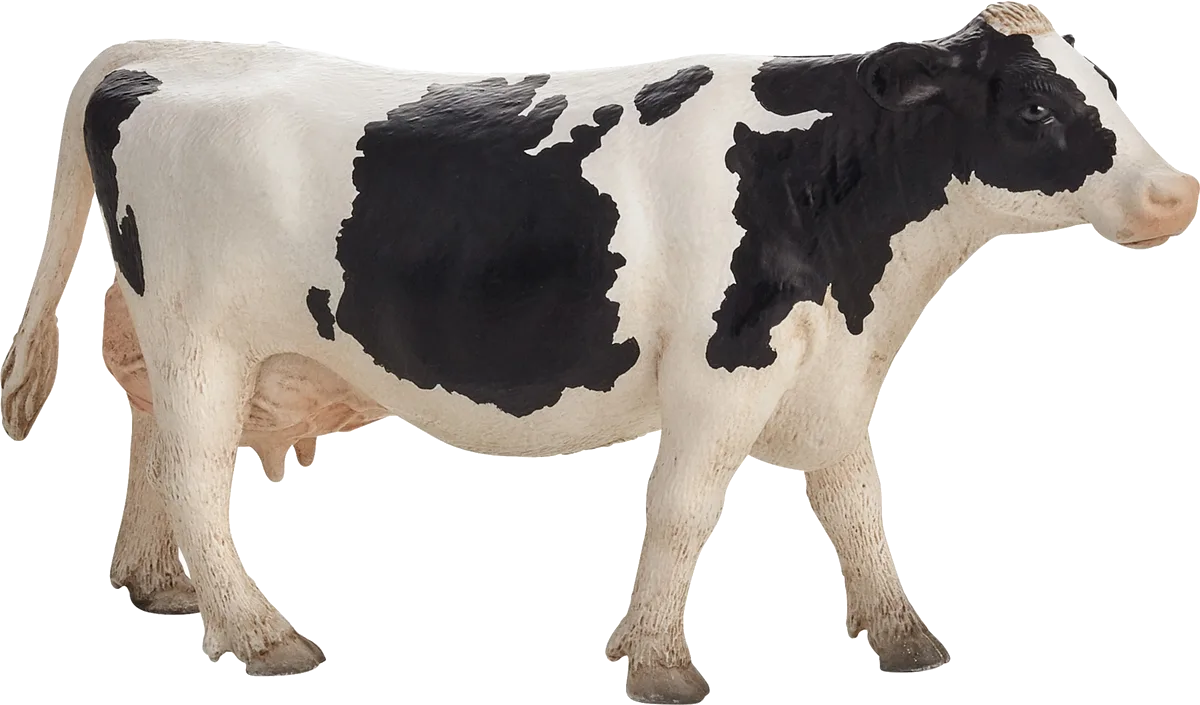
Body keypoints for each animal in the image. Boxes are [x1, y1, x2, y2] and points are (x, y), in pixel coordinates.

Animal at [2, 2, 1196, 702]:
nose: (1174, 194)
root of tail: (164, 51)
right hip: (205, 334)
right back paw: (258, 633)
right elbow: (684, 509)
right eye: (1036, 104)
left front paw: (903, 635)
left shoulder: (830, 368)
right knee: (197, 472)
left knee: (147, 434)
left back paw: (161, 585)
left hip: (167, 333)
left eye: (1111, 83)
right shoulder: (723, 368)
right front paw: (660, 659)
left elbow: (857, 503)